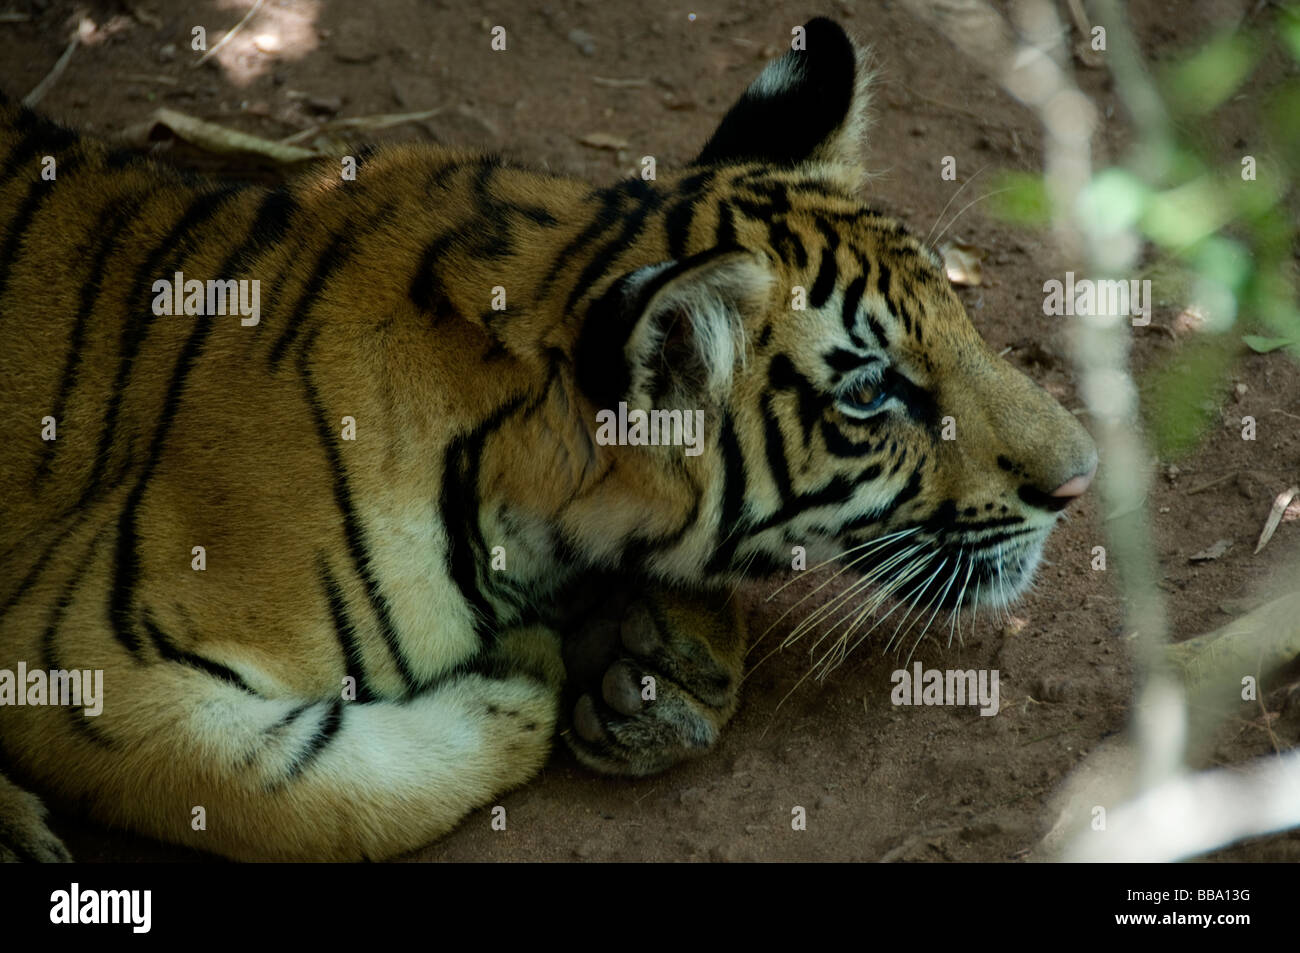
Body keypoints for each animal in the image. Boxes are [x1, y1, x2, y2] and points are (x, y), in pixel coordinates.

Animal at [0, 16, 1097, 863]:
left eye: (957, 318)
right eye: (871, 391)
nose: (1080, 481)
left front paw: (660, 662)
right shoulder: (82, 655)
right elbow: (316, 796)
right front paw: (528, 672)